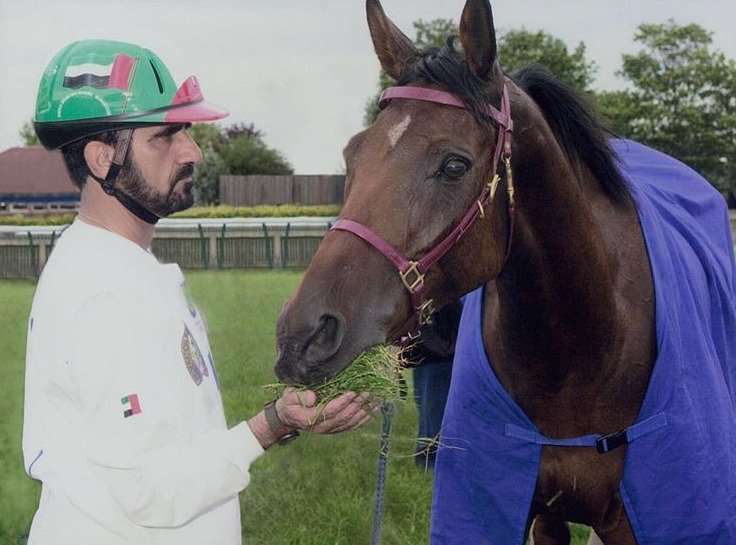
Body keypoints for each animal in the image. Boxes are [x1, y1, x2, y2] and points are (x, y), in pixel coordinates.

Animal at [274, 1, 736, 544]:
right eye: (353, 153)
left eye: (455, 165)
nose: (302, 337)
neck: (580, 356)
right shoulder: (541, 514)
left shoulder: (629, 520)